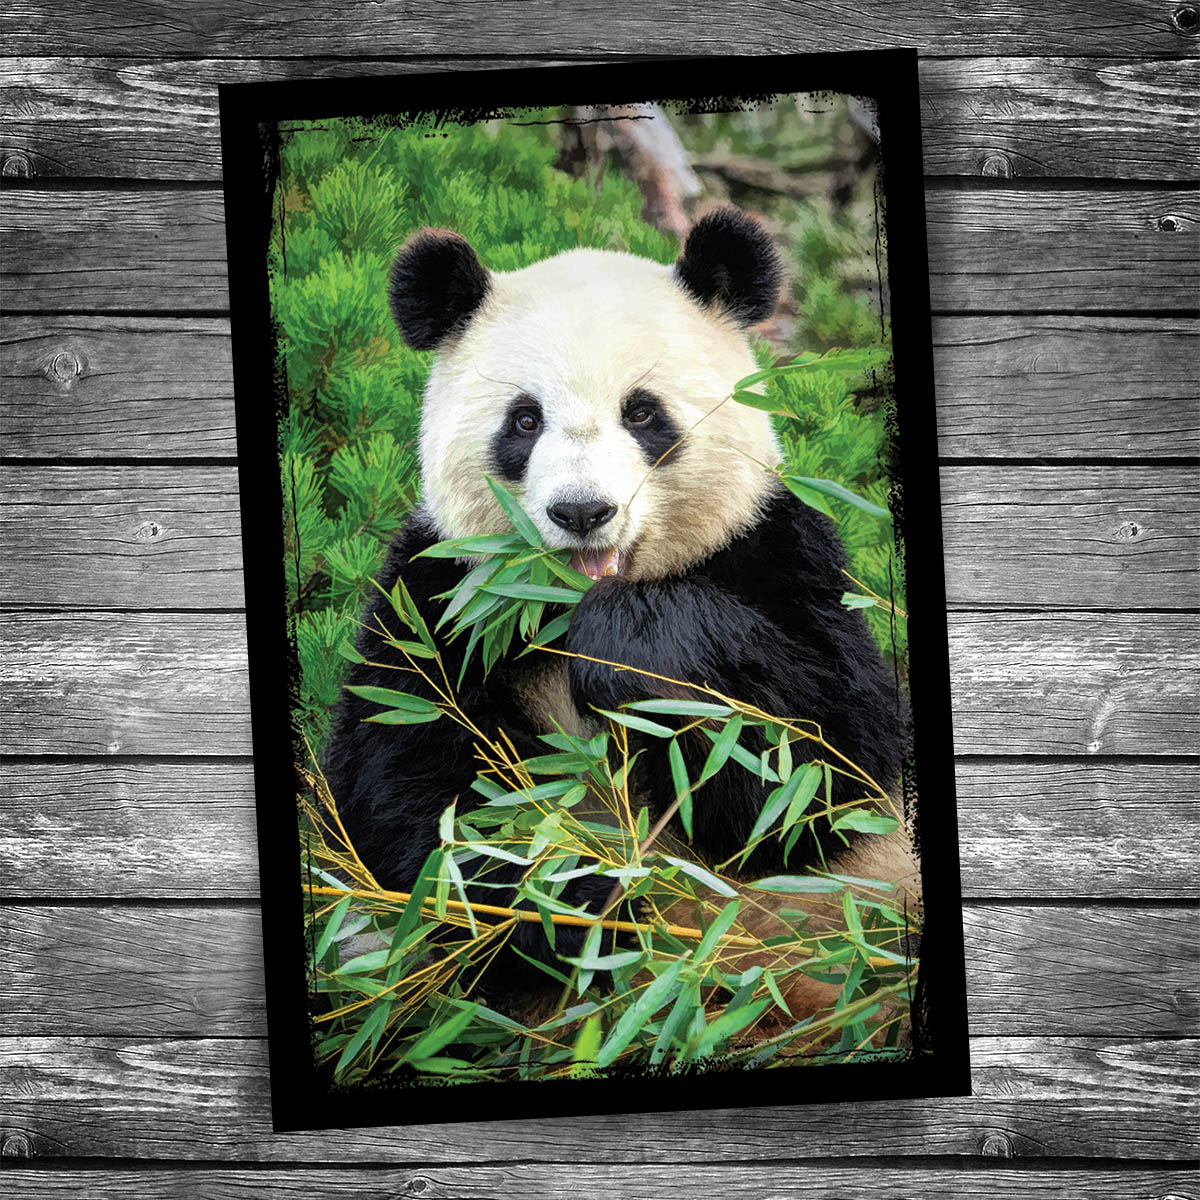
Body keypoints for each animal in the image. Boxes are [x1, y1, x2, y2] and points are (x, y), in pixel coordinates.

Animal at [323, 209, 919, 1017]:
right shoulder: (434, 600)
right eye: (524, 421)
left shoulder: (779, 553)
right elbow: (408, 793)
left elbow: (821, 766)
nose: (582, 511)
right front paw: (573, 905)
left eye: (641, 413)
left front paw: (626, 644)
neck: (558, 606)